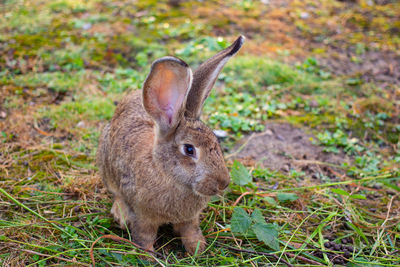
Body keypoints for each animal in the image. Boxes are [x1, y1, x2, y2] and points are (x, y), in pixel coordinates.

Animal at [97, 35, 244, 255]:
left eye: (216, 144)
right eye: (189, 149)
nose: (223, 183)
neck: (167, 174)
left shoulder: (190, 218)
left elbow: (190, 230)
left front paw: (197, 249)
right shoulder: (142, 216)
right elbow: (144, 235)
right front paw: (149, 255)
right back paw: (120, 215)